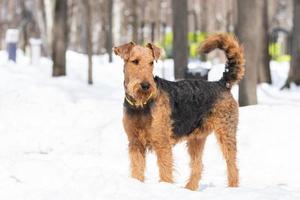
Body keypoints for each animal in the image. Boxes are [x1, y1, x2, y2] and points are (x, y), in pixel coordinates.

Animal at [113, 33, 245, 191]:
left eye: (151, 63)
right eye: (135, 61)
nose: (146, 86)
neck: (140, 105)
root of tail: (222, 83)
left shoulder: (162, 142)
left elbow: (165, 172)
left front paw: (165, 187)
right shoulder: (135, 142)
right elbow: (137, 170)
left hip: (226, 133)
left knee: (232, 165)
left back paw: (232, 188)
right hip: (197, 139)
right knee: (198, 165)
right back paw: (189, 189)